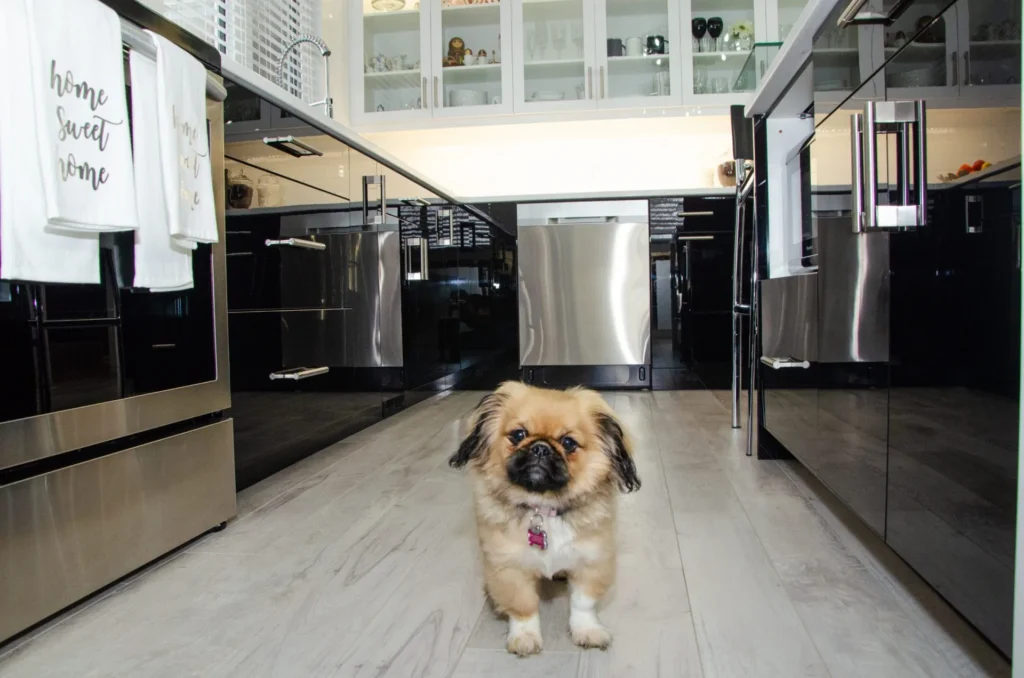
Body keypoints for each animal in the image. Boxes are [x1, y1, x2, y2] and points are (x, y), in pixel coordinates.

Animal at [448, 381, 640, 656]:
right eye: (518, 434)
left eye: (568, 442)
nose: (540, 447)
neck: (544, 507)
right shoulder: (509, 567)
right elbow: (523, 606)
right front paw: (525, 637)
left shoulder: (591, 560)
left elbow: (582, 603)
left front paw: (587, 631)